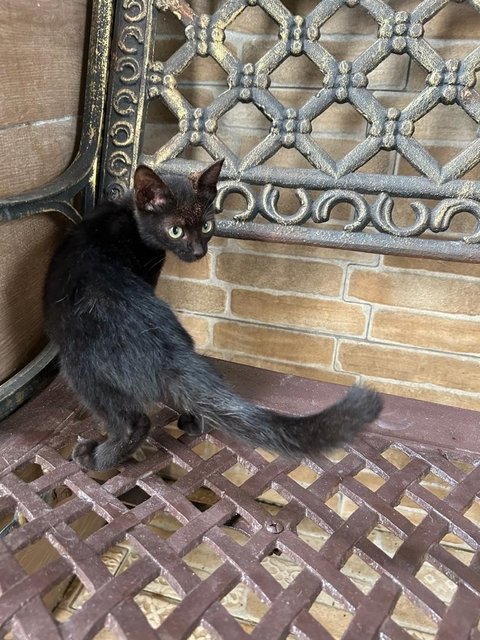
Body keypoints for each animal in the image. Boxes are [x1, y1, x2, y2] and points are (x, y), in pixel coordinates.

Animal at [44, 160, 382, 470]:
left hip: (82, 368)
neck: (129, 215)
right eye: (176, 230)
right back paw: (194, 422)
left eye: (206, 226)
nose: (198, 252)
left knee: (132, 423)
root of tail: (166, 351)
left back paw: (96, 459)